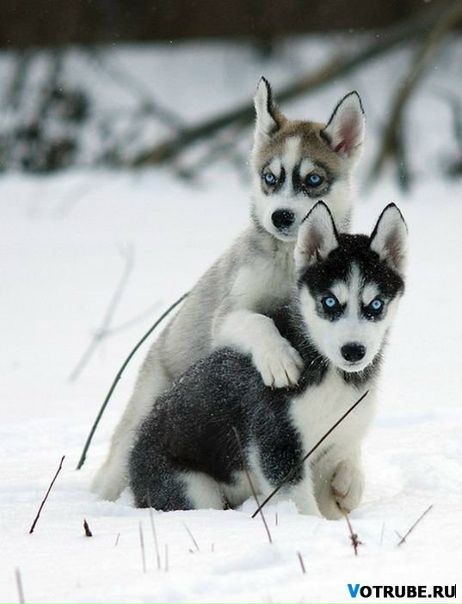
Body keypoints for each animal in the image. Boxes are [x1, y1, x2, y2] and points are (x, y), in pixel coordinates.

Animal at [92, 79, 366, 501]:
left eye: (313, 180)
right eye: (270, 178)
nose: (280, 216)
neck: (288, 259)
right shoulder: (226, 315)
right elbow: (256, 321)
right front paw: (278, 360)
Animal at [129, 202, 407, 517]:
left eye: (376, 304)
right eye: (329, 302)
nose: (353, 350)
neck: (329, 371)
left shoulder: (334, 442)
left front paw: (348, 486)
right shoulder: (276, 443)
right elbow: (302, 506)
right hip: (191, 488)